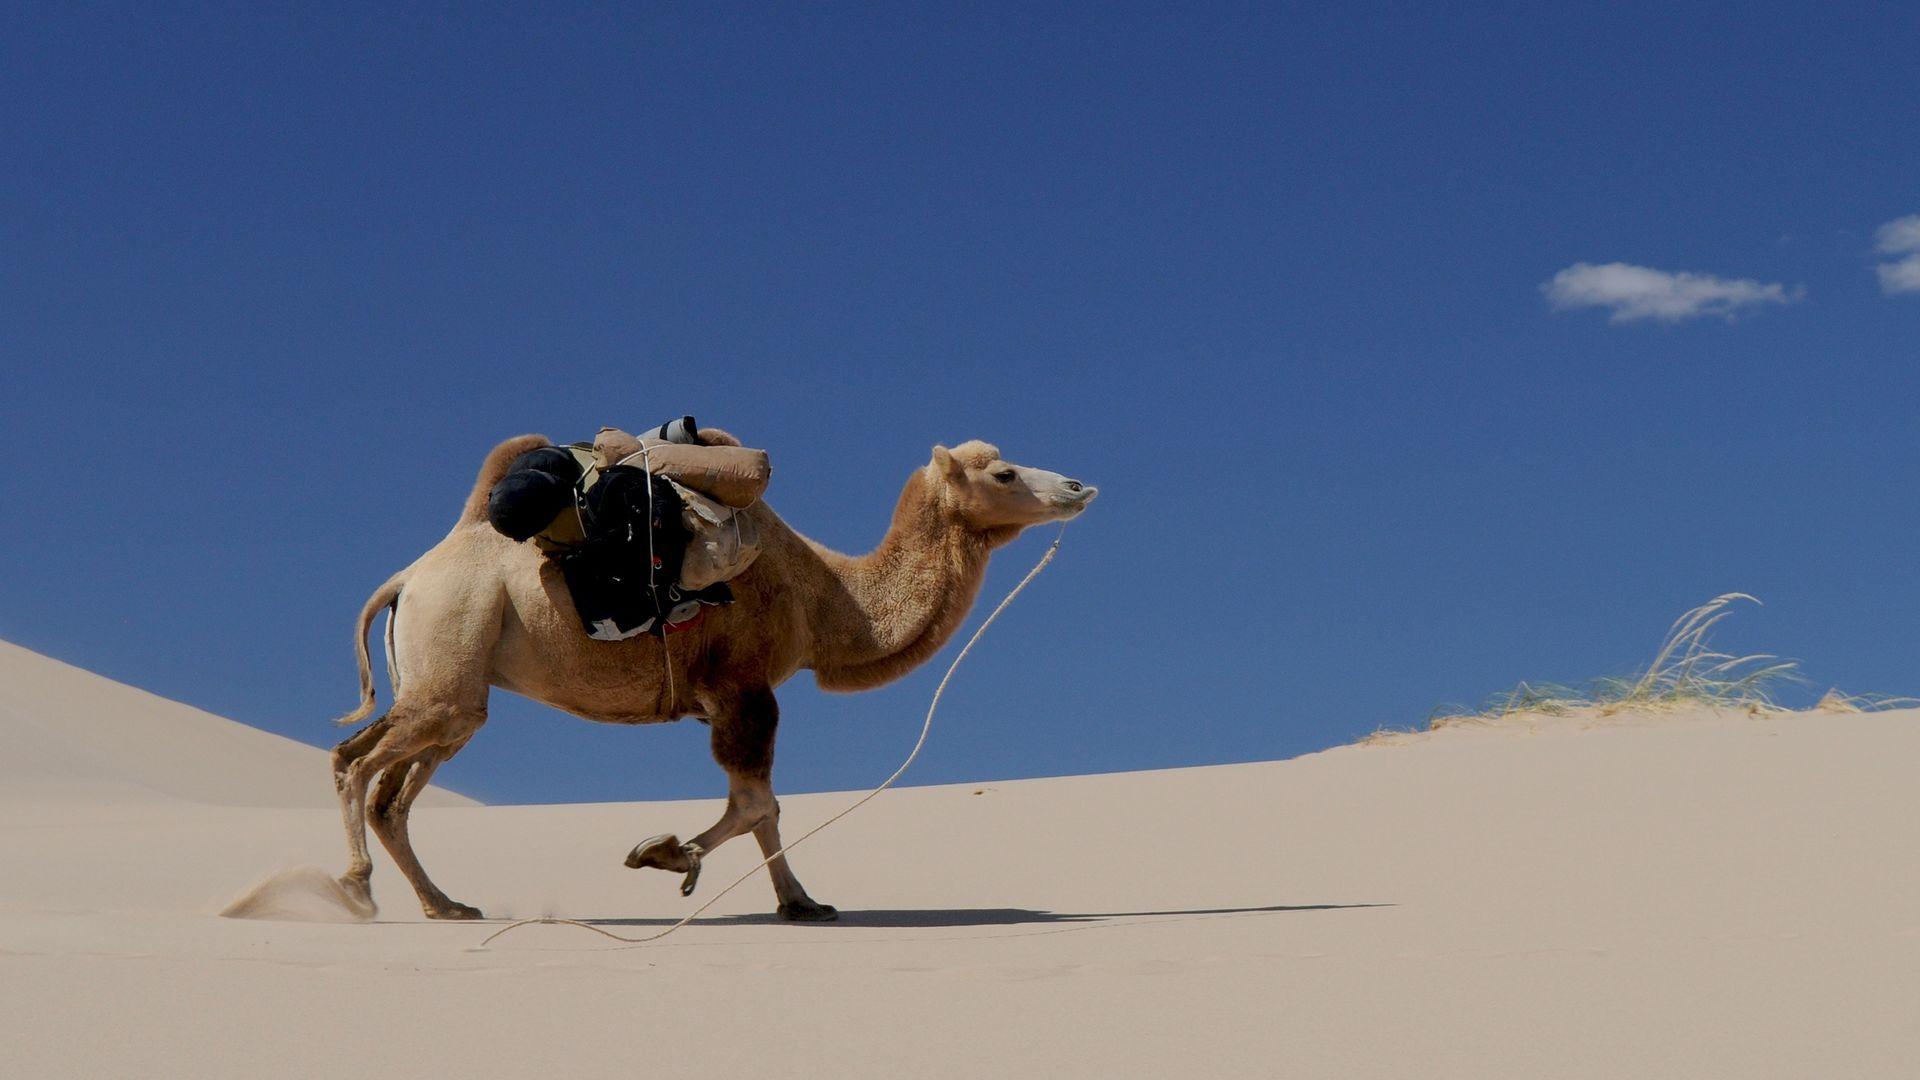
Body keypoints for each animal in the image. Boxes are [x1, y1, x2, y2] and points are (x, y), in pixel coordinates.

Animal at [330, 434, 1097, 922]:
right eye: (1002, 475)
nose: (1078, 486)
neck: (827, 598)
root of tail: (408, 578)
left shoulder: (737, 698)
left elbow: (765, 808)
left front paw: (801, 903)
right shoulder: (744, 688)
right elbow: (757, 805)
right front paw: (667, 855)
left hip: (455, 690)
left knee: (391, 792)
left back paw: (444, 905)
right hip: (449, 647)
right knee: (354, 763)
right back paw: (358, 888)